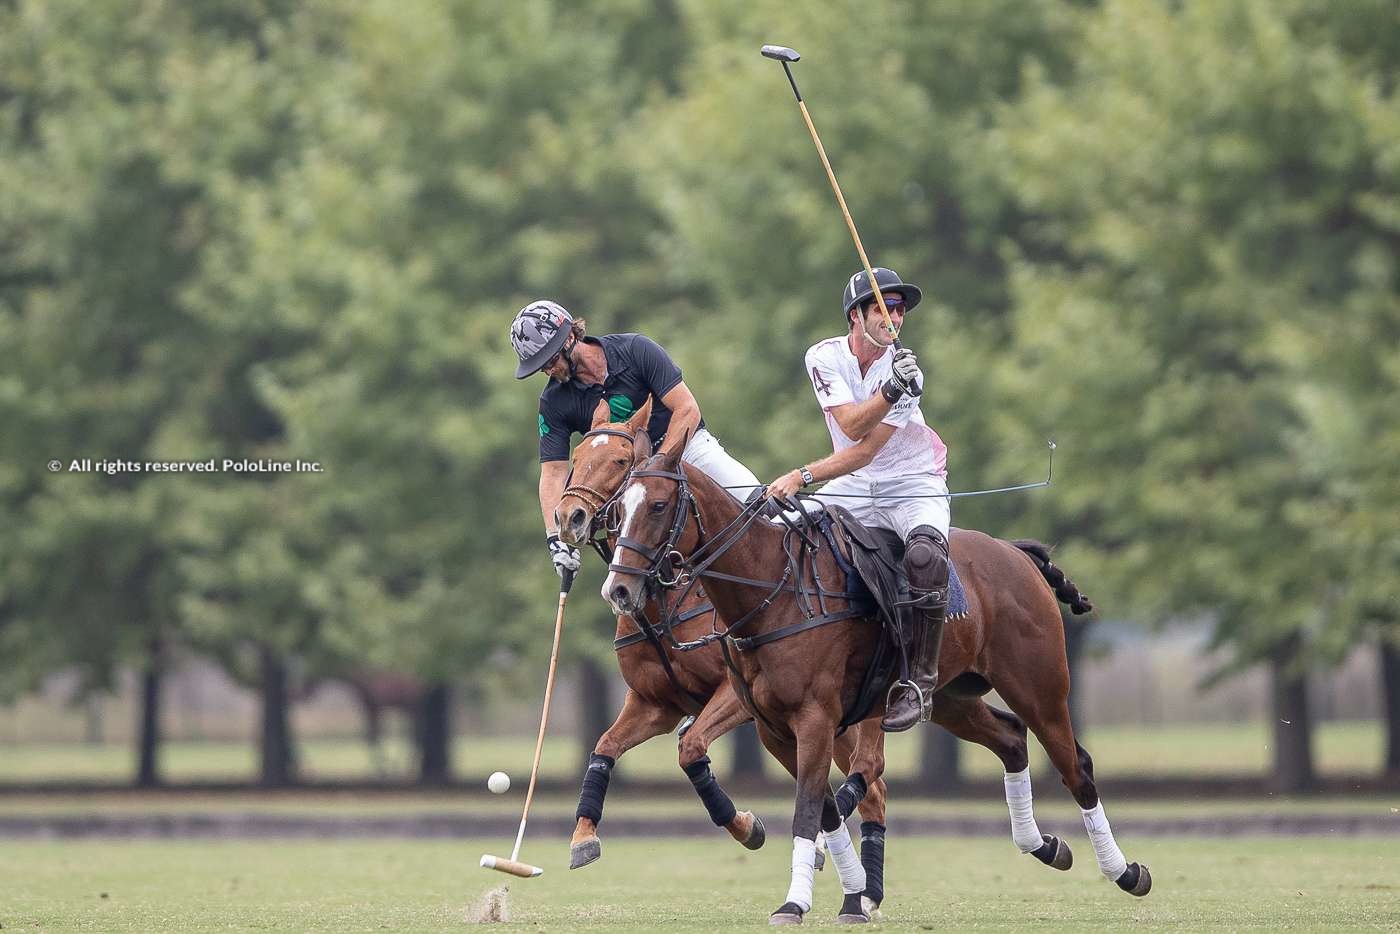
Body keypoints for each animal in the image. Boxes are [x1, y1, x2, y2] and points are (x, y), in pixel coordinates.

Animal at [602, 448, 1148, 924]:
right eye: (617, 511)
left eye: (657, 505)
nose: (619, 590)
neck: (770, 591)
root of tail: (1013, 551)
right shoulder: (773, 728)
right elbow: (823, 806)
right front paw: (848, 897)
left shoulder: (814, 718)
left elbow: (808, 809)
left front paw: (795, 904)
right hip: (950, 699)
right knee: (1011, 738)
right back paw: (1045, 846)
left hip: (1040, 687)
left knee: (1075, 766)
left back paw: (1125, 872)